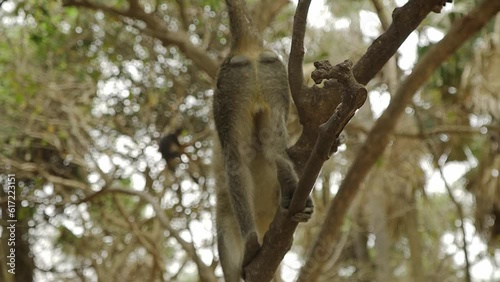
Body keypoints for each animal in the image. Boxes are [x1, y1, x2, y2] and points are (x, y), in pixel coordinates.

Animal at [212, 0, 312, 280]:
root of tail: (247, 48)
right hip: (270, 76)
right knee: (273, 147)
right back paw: (288, 179)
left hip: (229, 87)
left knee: (235, 158)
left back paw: (250, 245)